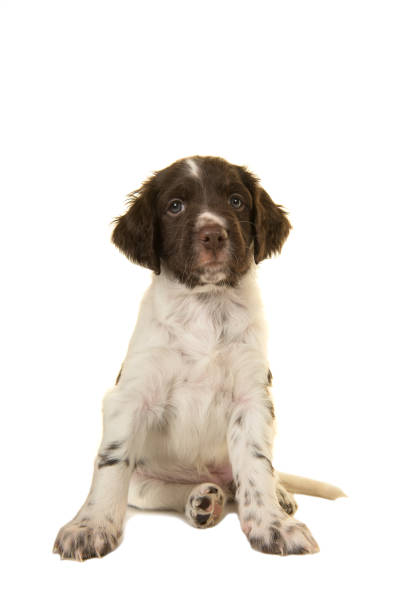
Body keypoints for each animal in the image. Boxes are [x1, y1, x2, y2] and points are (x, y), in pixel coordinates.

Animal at [52, 157, 342, 560]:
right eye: (175, 206)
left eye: (236, 201)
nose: (213, 234)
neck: (205, 306)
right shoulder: (129, 398)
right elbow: (110, 463)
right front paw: (90, 527)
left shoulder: (252, 399)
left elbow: (256, 465)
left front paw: (273, 526)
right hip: (144, 481)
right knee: (160, 490)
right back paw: (202, 499)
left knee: (253, 478)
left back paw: (274, 495)